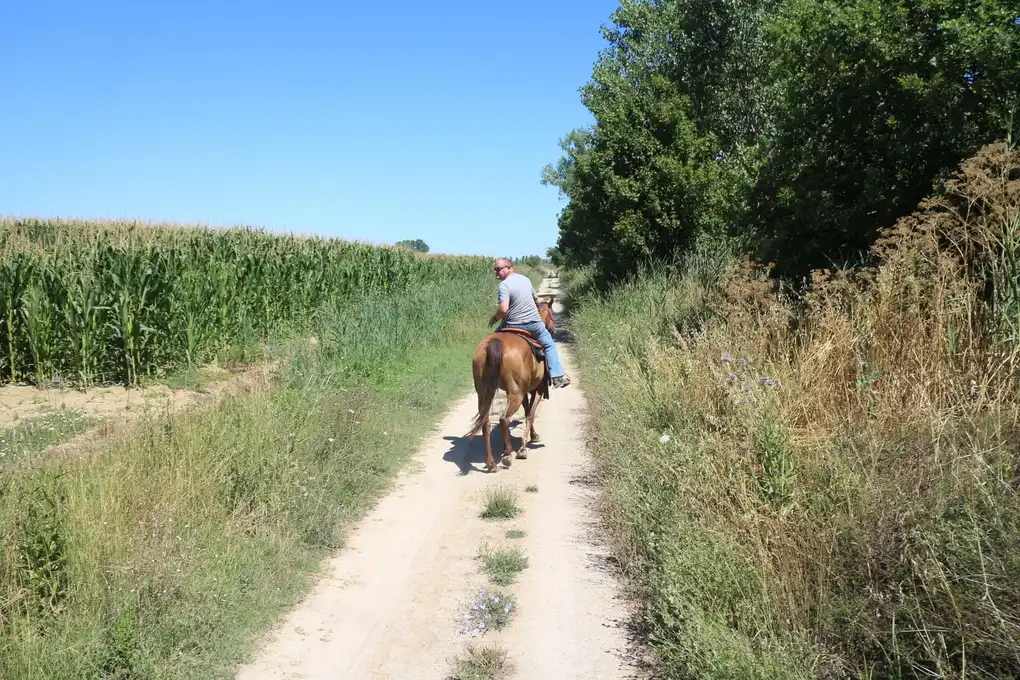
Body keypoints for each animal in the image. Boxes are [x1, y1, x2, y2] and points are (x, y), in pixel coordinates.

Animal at [466, 296, 557, 472]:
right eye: (553, 314)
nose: (554, 330)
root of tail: (494, 343)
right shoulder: (537, 390)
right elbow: (530, 414)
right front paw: (524, 446)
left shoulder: (525, 392)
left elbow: (527, 411)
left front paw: (531, 437)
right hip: (515, 394)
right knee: (503, 419)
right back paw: (507, 454)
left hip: (484, 392)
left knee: (485, 422)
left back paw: (491, 463)